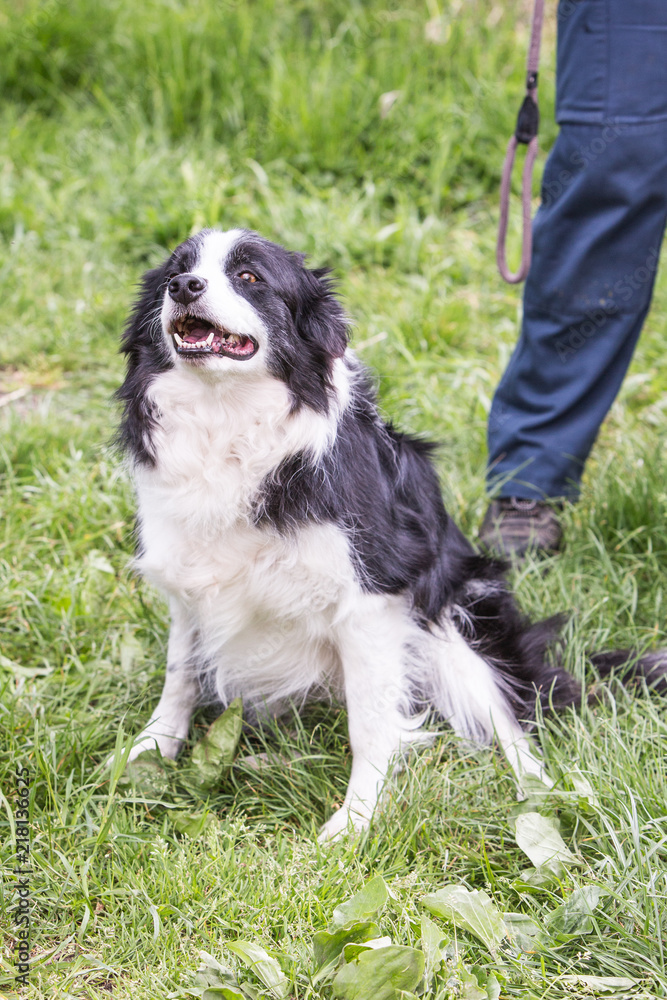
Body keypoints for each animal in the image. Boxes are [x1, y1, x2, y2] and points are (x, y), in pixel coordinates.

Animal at [117, 227, 664, 836]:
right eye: (175, 270)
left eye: (249, 276)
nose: (184, 287)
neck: (226, 419)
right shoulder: (190, 579)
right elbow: (180, 674)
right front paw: (150, 754)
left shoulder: (370, 600)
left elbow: (371, 724)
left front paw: (354, 822)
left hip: (458, 621)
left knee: (511, 720)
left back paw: (543, 795)